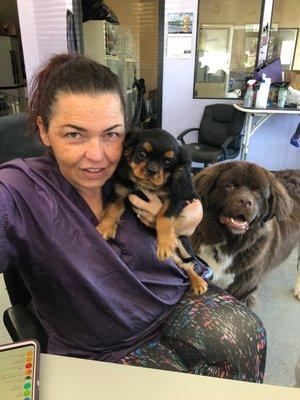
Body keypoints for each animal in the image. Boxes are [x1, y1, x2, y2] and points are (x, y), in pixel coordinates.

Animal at [97, 128, 207, 294]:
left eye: (168, 163)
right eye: (141, 153)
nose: (152, 170)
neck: (146, 186)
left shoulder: (175, 198)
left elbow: (163, 218)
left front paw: (165, 243)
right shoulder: (122, 192)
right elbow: (112, 210)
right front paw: (105, 227)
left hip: (183, 244)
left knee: (188, 265)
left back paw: (198, 282)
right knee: (181, 265)